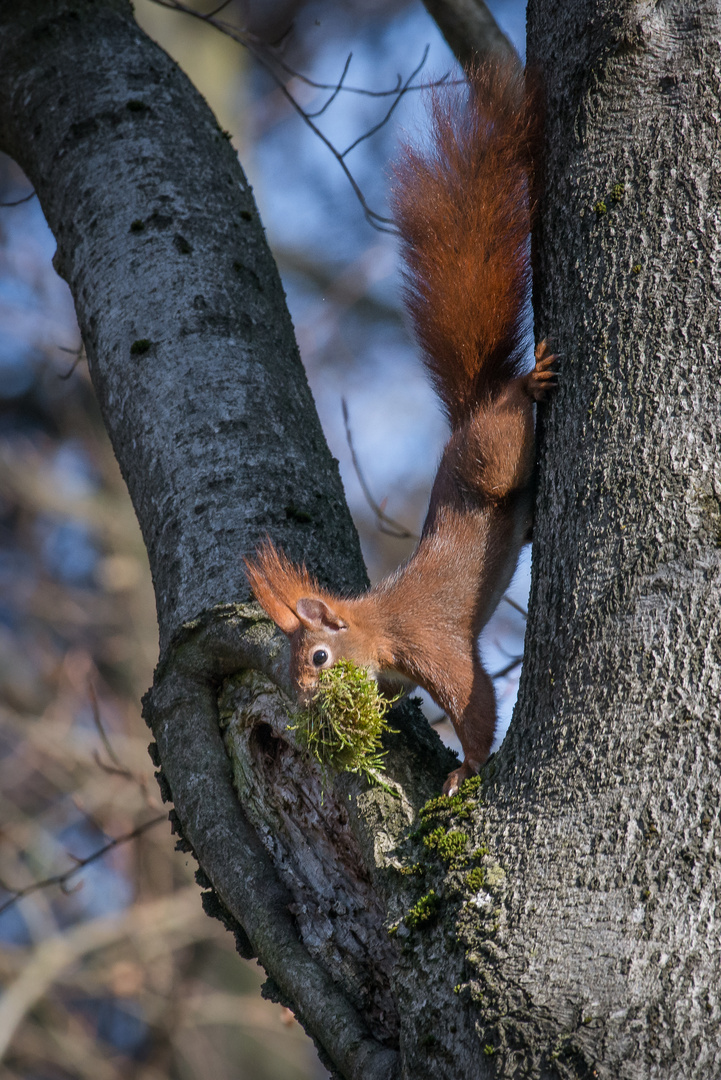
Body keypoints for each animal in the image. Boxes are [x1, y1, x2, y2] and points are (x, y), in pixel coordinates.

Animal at [245, 61, 556, 794]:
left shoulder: (429, 644)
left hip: (491, 456)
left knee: (507, 425)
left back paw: (525, 384)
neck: (375, 629)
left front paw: (464, 771)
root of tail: (471, 409)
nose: (305, 702)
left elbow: (472, 699)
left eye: (319, 658)